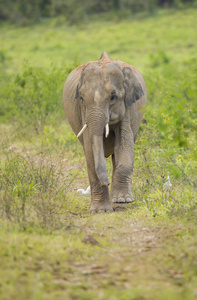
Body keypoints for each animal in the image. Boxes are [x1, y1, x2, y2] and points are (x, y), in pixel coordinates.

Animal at [62, 51, 147, 213]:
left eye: (113, 96)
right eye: (81, 98)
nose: (105, 183)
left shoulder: (127, 106)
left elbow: (124, 143)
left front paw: (123, 200)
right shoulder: (83, 111)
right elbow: (90, 149)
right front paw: (100, 211)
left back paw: (118, 205)